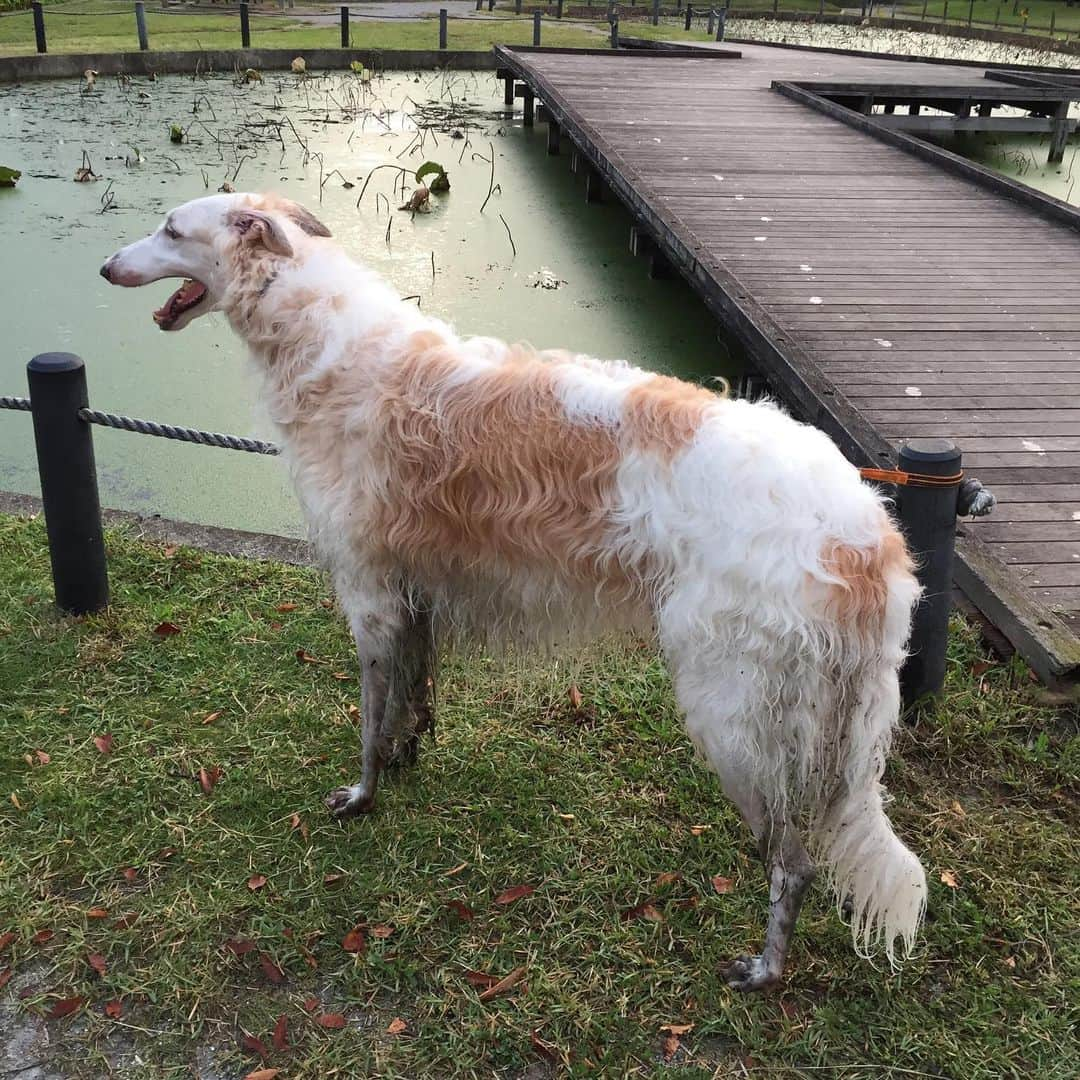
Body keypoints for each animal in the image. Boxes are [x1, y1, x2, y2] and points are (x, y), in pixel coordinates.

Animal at [103, 192, 928, 989]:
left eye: (170, 229)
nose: (108, 267)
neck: (336, 349)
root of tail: (870, 532)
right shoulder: (414, 594)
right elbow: (409, 698)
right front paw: (405, 757)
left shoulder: (368, 593)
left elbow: (369, 718)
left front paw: (361, 796)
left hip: (731, 711)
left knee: (793, 864)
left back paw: (763, 969)